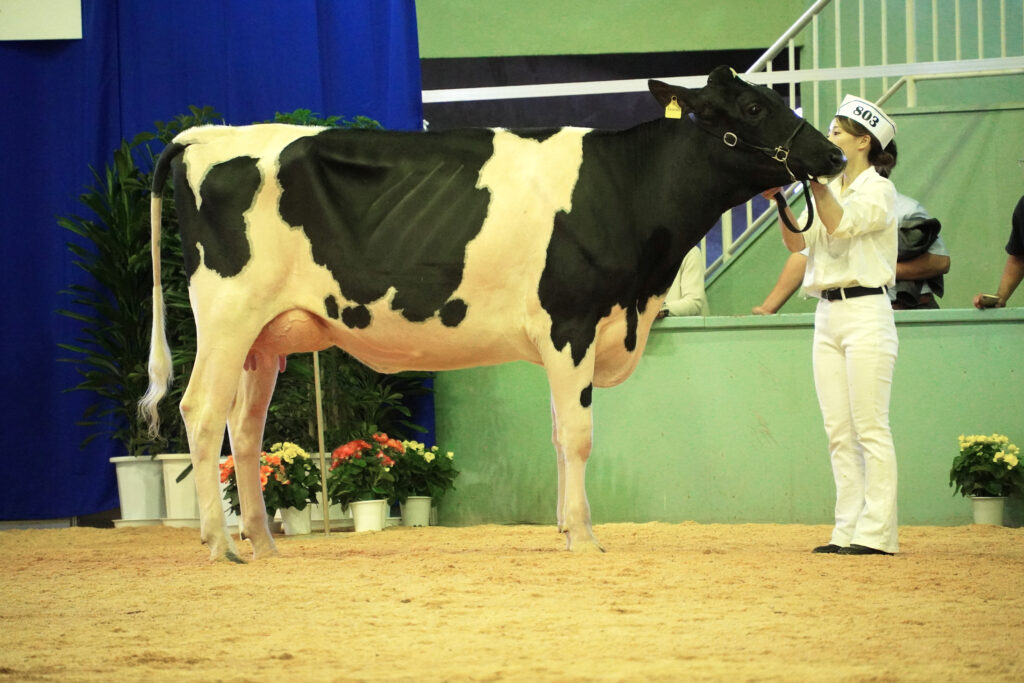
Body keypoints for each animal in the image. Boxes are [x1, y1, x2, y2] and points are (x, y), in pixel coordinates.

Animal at [140, 66, 843, 565]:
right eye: (753, 108)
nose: (833, 155)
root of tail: (207, 135)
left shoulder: (570, 338)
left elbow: (559, 434)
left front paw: (564, 528)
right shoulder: (570, 324)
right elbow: (578, 435)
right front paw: (585, 537)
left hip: (265, 338)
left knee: (245, 430)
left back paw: (263, 544)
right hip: (227, 314)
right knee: (202, 411)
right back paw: (220, 545)